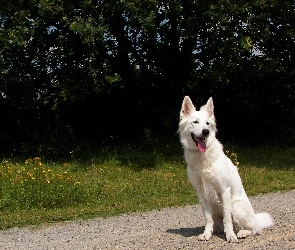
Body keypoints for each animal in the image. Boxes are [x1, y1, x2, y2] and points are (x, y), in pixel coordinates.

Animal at [179, 95, 274, 242]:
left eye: (207, 123)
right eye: (195, 122)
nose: (206, 132)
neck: (202, 158)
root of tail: (256, 219)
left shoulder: (224, 190)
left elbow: (227, 219)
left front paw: (230, 236)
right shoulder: (202, 193)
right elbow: (208, 218)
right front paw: (206, 234)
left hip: (236, 205)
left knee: (253, 229)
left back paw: (242, 232)